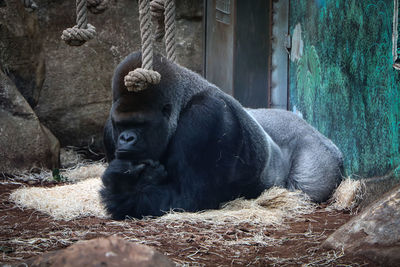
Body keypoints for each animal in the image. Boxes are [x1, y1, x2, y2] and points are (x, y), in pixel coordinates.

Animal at [101, 51, 344, 220]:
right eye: (121, 124)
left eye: (141, 124)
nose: (126, 139)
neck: (182, 105)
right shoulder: (109, 130)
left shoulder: (206, 118)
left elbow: (188, 197)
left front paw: (121, 188)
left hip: (319, 153)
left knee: (305, 186)